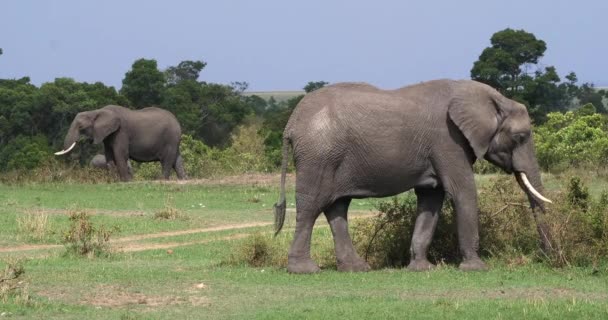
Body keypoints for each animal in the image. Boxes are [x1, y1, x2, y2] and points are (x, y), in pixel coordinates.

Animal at [56, 104, 185, 181]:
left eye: (81, 127)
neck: (97, 111)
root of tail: (177, 121)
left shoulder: (121, 132)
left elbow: (120, 154)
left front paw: (126, 181)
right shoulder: (108, 135)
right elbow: (109, 156)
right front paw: (114, 181)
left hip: (170, 138)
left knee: (167, 161)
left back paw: (162, 180)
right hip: (173, 140)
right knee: (177, 160)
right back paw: (184, 179)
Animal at [276, 79, 556, 274]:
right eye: (520, 137)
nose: (545, 257)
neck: (493, 98)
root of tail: (291, 124)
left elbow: (431, 198)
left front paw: (422, 269)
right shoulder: (448, 141)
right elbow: (463, 191)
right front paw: (476, 268)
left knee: (337, 207)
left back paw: (357, 269)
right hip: (318, 156)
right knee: (311, 206)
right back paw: (305, 270)